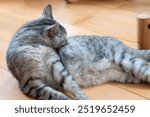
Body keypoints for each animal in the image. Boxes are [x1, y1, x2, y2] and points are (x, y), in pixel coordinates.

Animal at [7, 4, 150, 99]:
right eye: (64, 37)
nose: (67, 42)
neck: (37, 48)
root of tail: (121, 43)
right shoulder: (31, 83)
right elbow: (54, 95)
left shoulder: (56, 65)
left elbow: (71, 84)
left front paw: (82, 97)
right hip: (126, 75)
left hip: (125, 60)